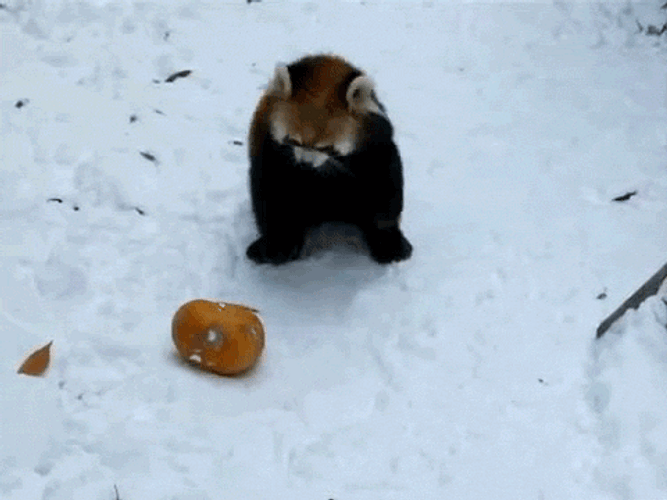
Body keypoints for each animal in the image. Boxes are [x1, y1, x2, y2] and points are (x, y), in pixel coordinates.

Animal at [246, 54, 412, 265]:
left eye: (325, 148)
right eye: (293, 140)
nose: (305, 164)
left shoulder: (375, 146)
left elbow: (385, 189)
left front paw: (388, 240)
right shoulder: (271, 149)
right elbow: (271, 192)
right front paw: (278, 245)